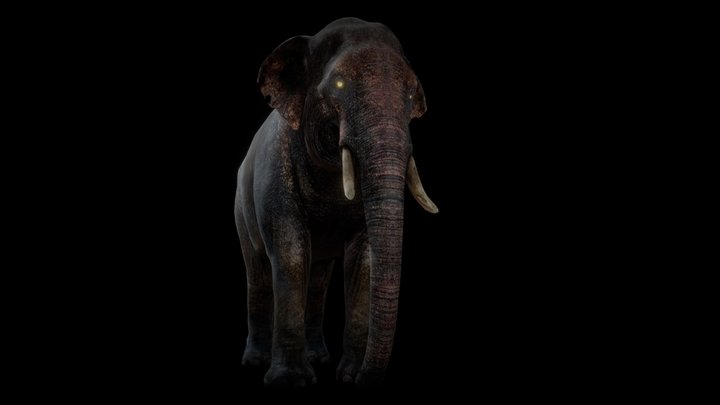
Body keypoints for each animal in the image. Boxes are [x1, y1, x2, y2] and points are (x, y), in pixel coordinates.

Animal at [235, 17, 438, 387]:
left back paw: (319, 356)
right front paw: (290, 381)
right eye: (340, 83)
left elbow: (364, 257)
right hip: (240, 206)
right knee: (257, 271)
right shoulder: (275, 169)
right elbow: (290, 252)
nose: (364, 380)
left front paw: (348, 374)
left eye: (412, 94)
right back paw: (255, 361)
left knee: (317, 278)